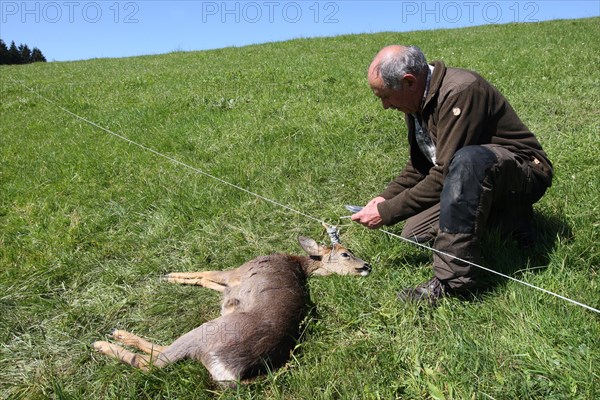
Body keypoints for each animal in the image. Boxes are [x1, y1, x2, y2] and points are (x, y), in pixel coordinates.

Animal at [92, 234, 370, 384]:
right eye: (346, 253)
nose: (367, 265)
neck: (295, 262)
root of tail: (235, 373)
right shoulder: (232, 284)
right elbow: (207, 282)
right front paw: (174, 277)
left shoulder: (236, 271)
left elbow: (206, 272)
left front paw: (170, 276)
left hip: (208, 331)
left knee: (152, 363)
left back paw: (107, 340)